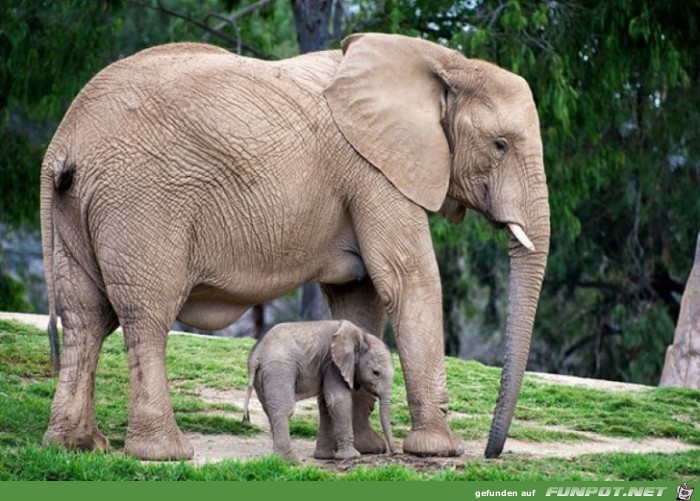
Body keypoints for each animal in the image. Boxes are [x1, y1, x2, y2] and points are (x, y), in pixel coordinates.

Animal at [242, 318, 394, 458]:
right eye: (376, 372)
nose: (393, 453)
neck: (361, 335)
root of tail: (257, 355)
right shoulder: (333, 364)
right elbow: (338, 400)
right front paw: (351, 457)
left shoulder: (326, 365)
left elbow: (325, 403)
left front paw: (324, 457)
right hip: (279, 369)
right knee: (284, 409)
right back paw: (289, 461)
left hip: (262, 375)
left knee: (269, 409)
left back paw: (277, 459)